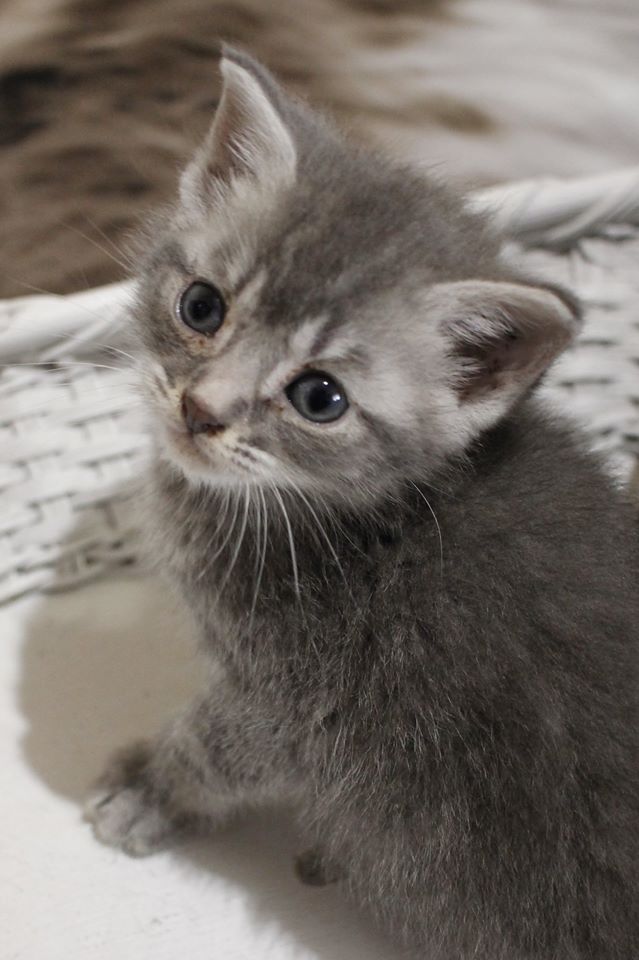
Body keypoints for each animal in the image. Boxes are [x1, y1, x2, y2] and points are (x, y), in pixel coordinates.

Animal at [85, 47, 639, 960]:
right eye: (201, 306)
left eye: (319, 397)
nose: (200, 411)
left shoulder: (288, 697)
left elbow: (212, 748)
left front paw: (149, 791)